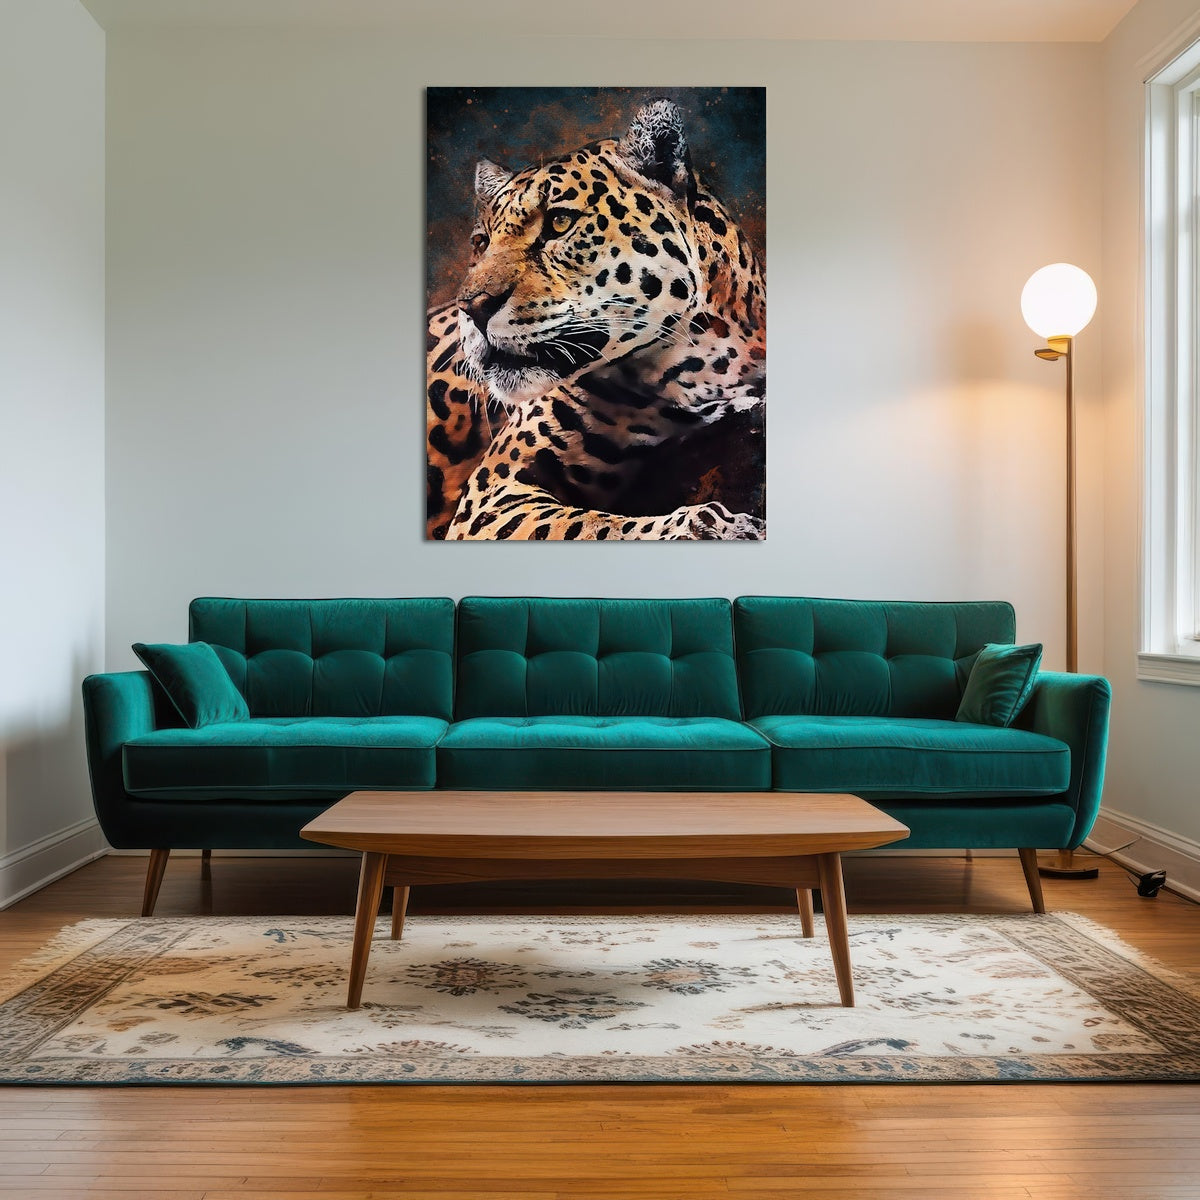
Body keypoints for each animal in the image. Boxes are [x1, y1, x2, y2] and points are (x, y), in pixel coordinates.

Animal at [424, 98, 765, 541]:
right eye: (480, 243)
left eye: (559, 223)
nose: (473, 307)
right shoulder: (494, 491)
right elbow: (593, 526)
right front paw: (716, 526)